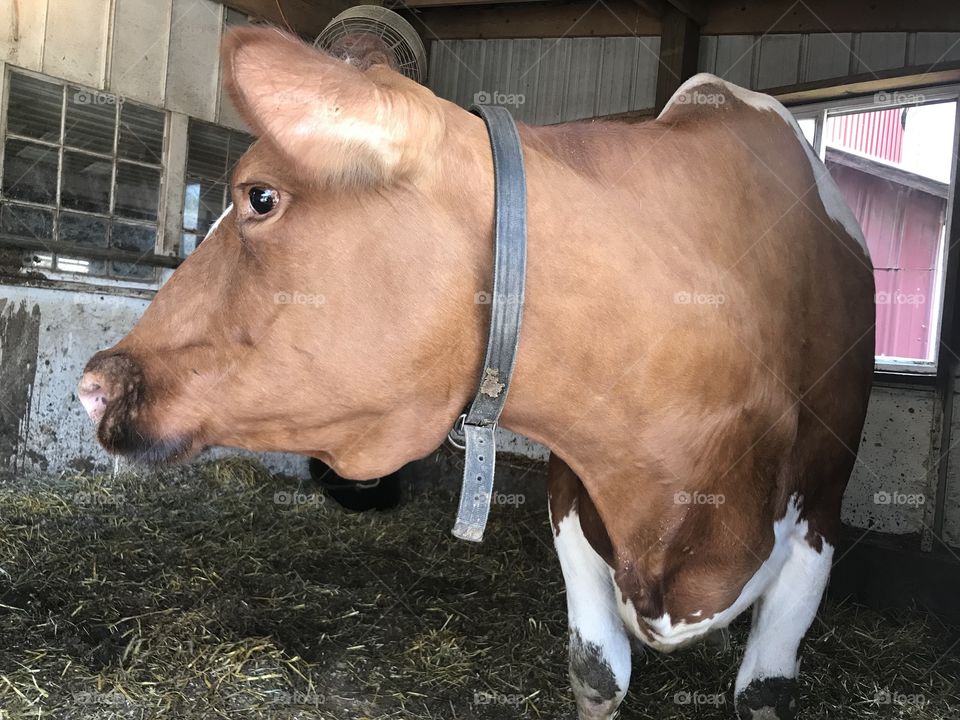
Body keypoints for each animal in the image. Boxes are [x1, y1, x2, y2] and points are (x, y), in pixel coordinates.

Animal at [80, 28, 876, 720]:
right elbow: (597, 676)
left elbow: (763, 692)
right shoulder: (571, 496)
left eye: (259, 197)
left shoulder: (819, 520)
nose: (92, 385)